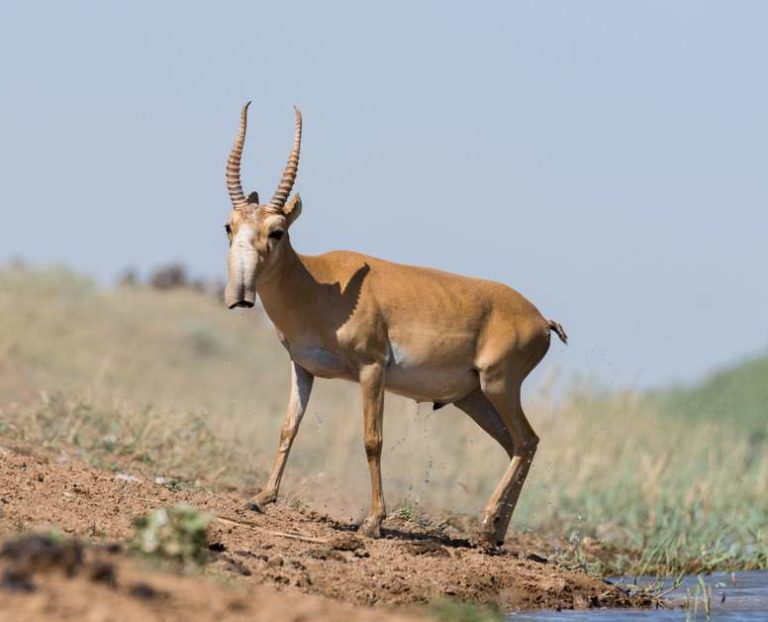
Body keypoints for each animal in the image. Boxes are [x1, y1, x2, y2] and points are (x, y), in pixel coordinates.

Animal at [223, 103, 567, 544]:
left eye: (277, 231)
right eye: (229, 226)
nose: (240, 295)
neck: (321, 285)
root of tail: (540, 319)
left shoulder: (372, 369)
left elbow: (373, 440)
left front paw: (372, 522)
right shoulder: (302, 368)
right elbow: (288, 428)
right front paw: (261, 498)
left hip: (499, 386)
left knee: (526, 441)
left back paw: (487, 525)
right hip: (472, 397)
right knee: (518, 445)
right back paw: (492, 535)